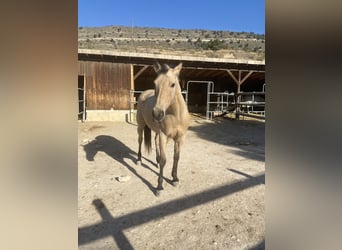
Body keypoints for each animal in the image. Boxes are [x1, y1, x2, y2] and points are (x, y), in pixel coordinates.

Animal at [136, 62, 190, 195]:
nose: (157, 113)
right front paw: (159, 186)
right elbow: (164, 160)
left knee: (155, 141)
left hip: (156, 131)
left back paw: (156, 160)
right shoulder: (164, 136)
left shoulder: (180, 138)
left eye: (173, 84)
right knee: (140, 140)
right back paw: (139, 159)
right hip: (141, 125)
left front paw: (175, 179)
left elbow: (176, 157)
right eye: (155, 83)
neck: (176, 116)